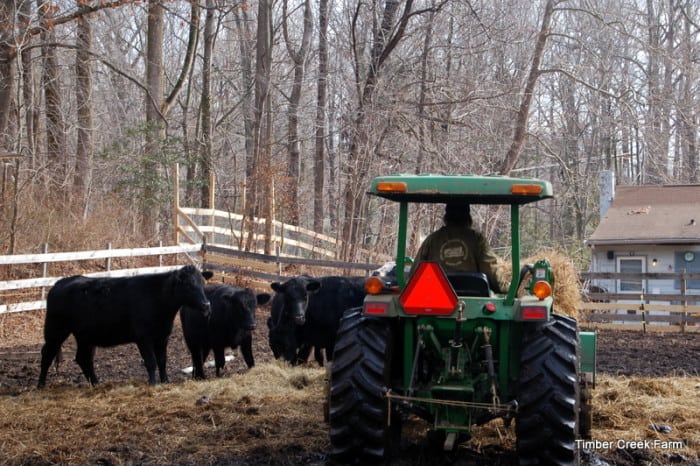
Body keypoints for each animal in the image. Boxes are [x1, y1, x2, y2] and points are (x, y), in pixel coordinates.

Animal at [37, 265, 213, 388]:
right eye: (188, 285)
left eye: (202, 283)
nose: (206, 305)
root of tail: (60, 282)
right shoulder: (143, 337)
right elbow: (151, 361)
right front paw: (152, 383)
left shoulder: (163, 336)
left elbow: (162, 361)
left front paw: (165, 381)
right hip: (56, 329)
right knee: (47, 353)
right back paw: (41, 384)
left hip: (85, 336)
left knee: (83, 358)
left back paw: (95, 383)